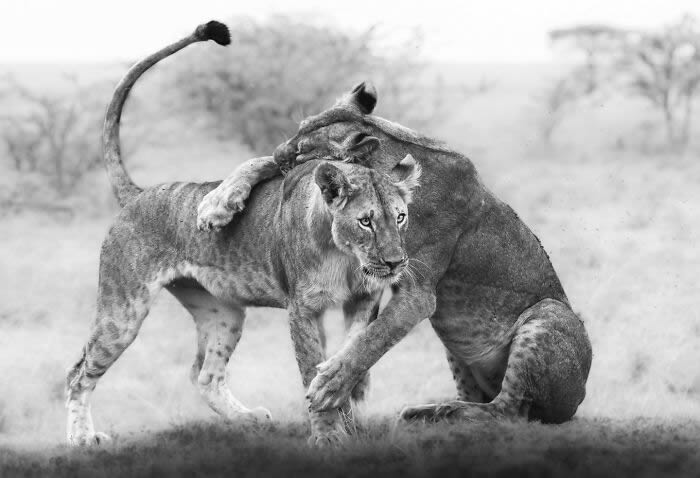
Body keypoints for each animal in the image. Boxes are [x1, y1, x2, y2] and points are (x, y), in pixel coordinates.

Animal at [64, 20, 416, 448]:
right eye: (366, 220)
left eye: (400, 217)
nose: (395, 262)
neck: (346, 256)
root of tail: (140, 193)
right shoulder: (302, 308)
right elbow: (309, 367)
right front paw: (327, 436)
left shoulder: (363, 301)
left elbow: (352, 351)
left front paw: (344, 392)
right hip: (123, 311)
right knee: (79, 373)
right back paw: (82, 437)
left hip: (223, 313)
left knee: (205, 375)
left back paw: (249, 419)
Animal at [197, 80, 592, 424]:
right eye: (299, 129)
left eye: (303, 150)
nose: (283, 151)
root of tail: (577, 401)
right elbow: (256, 162)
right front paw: (217, 203)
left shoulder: (418, 294)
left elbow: (374, 337)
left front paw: (331, 384)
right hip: (457, 352)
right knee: (486, 398)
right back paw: (429, 410)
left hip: (550, 313)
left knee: (508, 411)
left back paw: (443, 411)